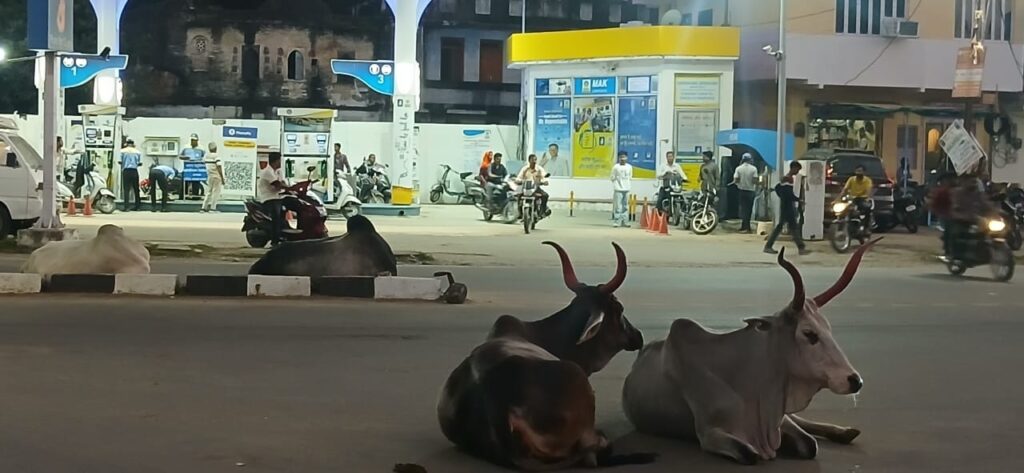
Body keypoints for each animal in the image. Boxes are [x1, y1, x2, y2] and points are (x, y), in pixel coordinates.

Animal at [621, 241, 878, 465]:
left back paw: (844, 431)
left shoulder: (779, 418)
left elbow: (809, 444)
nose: (855, 381)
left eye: (828, 328)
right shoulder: (709, 434)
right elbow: (750, 455)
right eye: (809, 334)